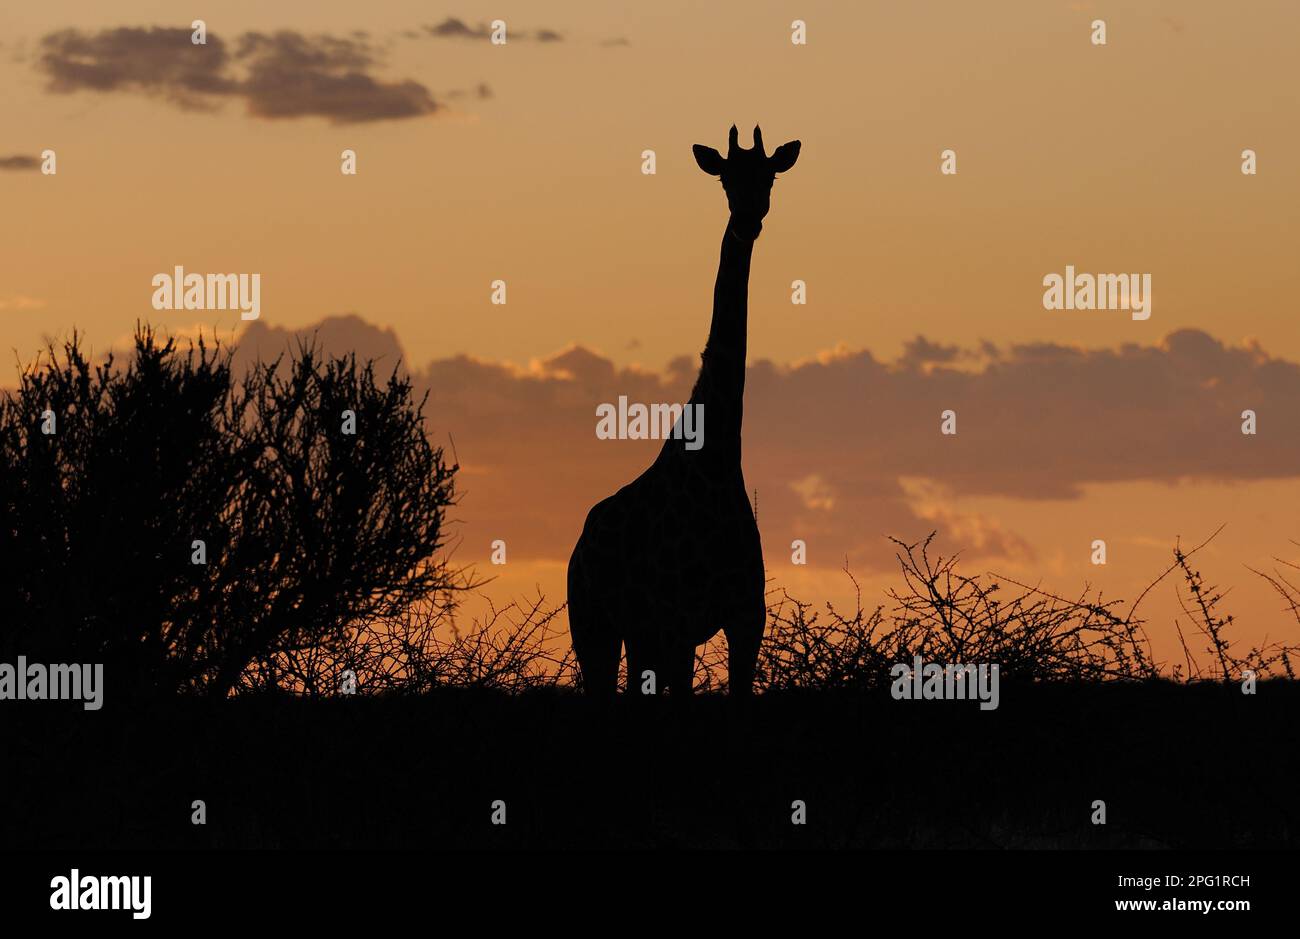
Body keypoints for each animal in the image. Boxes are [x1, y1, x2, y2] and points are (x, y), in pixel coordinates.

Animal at [572, 124, 800, 691]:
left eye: (769, 177)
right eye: (724, 180)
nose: (747, 221)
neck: (716, 461)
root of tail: (578, 546)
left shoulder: (745, 620)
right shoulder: (674, 623)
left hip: (639, 638)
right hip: (595, 629)